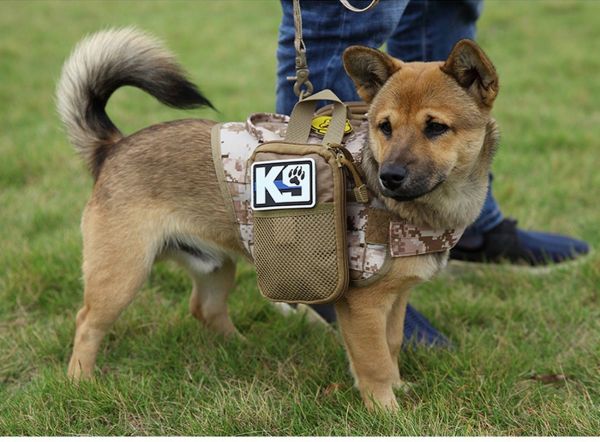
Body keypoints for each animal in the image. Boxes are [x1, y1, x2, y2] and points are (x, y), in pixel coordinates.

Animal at [56, 27, 500, 410]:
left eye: (436, 127)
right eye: (385, 127)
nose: (390, 176)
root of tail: (112, 147)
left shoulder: (396, 298)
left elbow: (391, 347)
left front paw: (399, 388)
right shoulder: (363, 306)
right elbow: (374, 361)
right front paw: (387, 413)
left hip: (215, 266)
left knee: (205, 308)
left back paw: (242, 349)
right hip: (122, 274)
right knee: (87, 323)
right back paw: (80, 382)